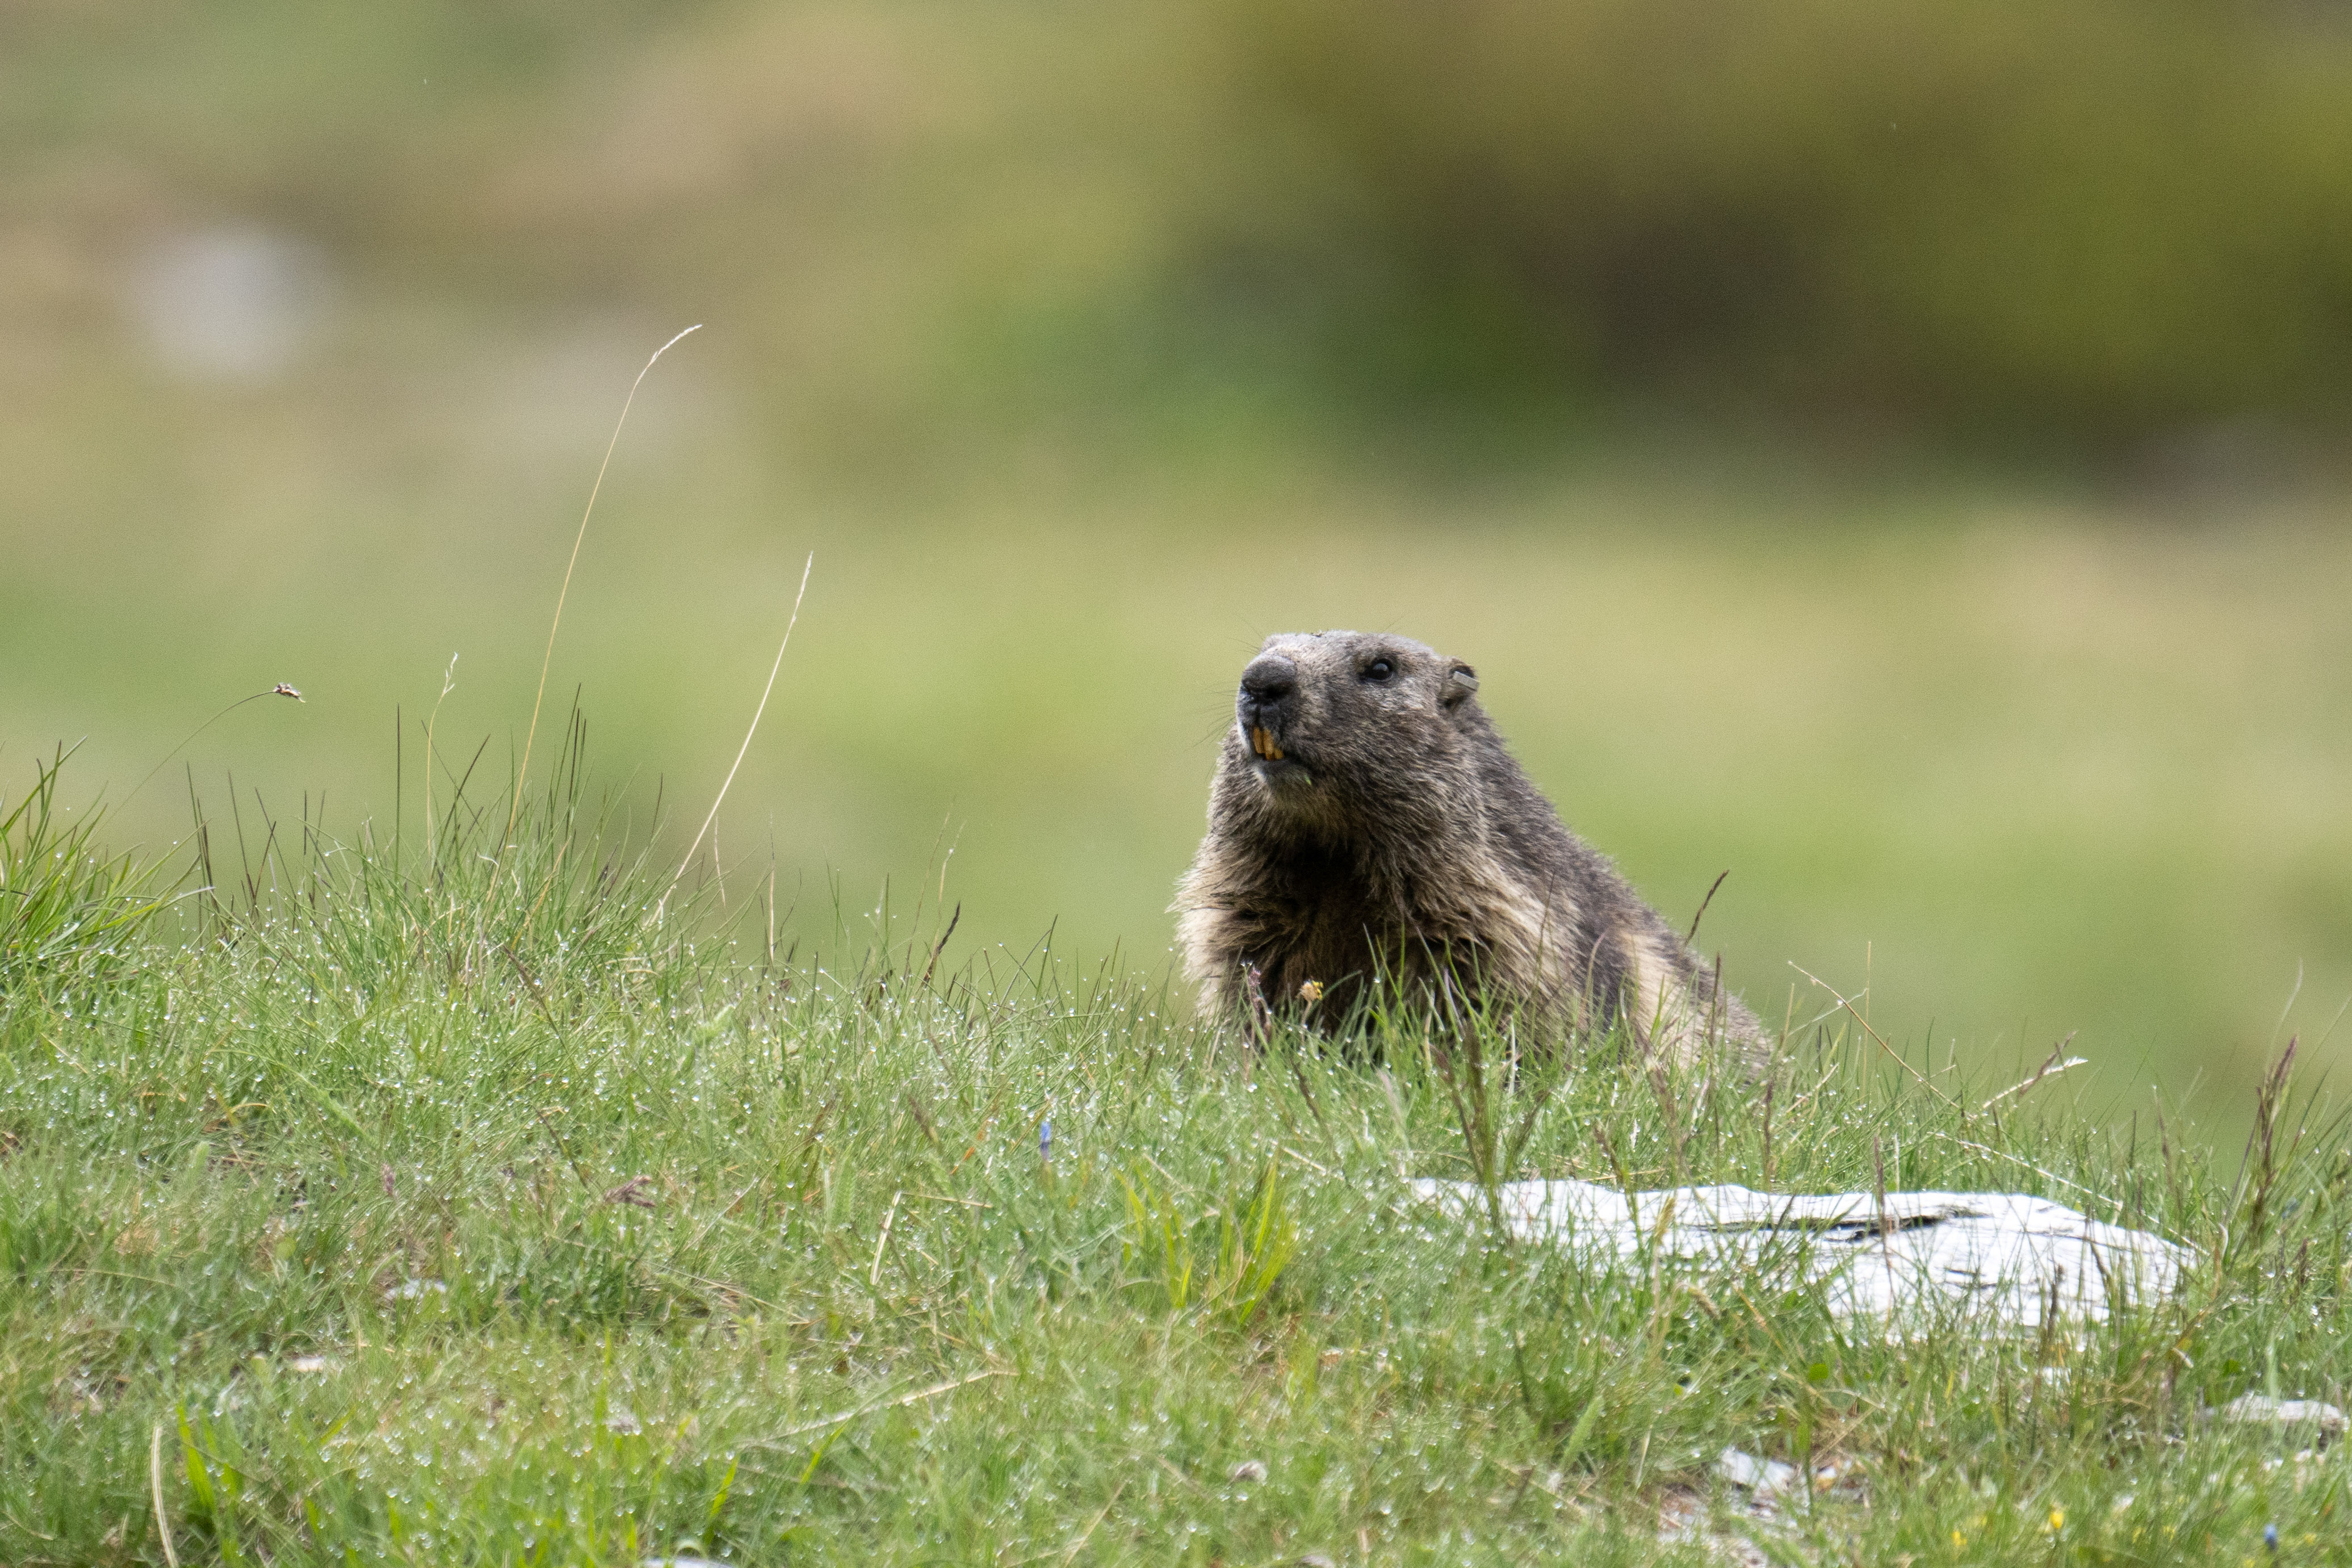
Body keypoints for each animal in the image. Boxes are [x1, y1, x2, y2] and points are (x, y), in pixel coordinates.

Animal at [1174, 631, 1767, 1068]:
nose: (1261, 678)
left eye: (1381, 669)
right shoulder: (1250, 912)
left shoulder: (1499, 928)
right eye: (1265, 645)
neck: (1337, 856)